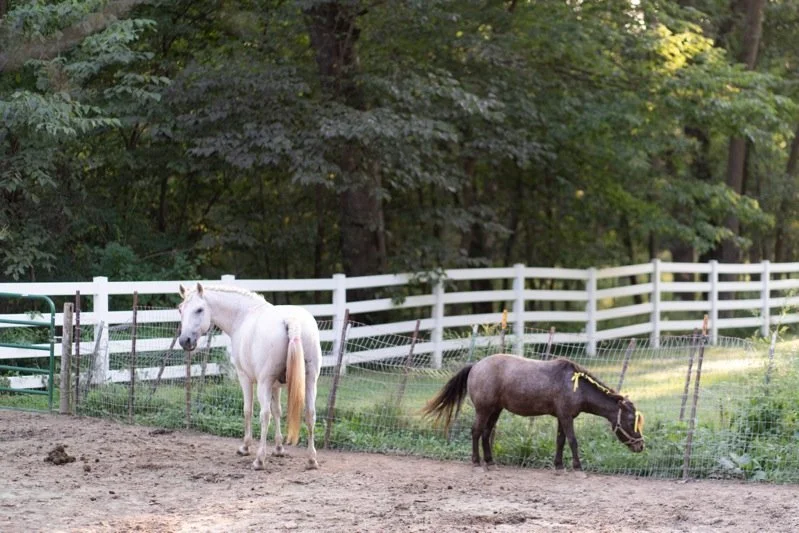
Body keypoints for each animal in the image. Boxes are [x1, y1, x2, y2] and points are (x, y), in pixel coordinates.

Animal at [177, 283, 322, 470]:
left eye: (199, 309)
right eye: (180, 309)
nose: (184, 341)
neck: (243, 315)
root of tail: (292, 321)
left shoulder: (245, 378)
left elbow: (248, 410)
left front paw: (245, 447)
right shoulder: (275, 385)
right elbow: (278, 411)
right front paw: (279, 448)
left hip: (264, 383)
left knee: (264, 415)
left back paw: (259, 460)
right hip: (310, 381)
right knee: (310, 414)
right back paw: (311, 459)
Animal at [423, 354, 645, 471]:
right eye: (630, 419)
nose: (640, 446)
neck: (575, 386)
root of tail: (476, 365)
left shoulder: (562, 418)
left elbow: (560, 441)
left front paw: (558, 465)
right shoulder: (566, 417)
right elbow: (573, 441)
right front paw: (577, 466)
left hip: (495, 410)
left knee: (485, 433)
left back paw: (490, 460)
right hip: (484, 410)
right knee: (476, 432)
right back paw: (477, 461)